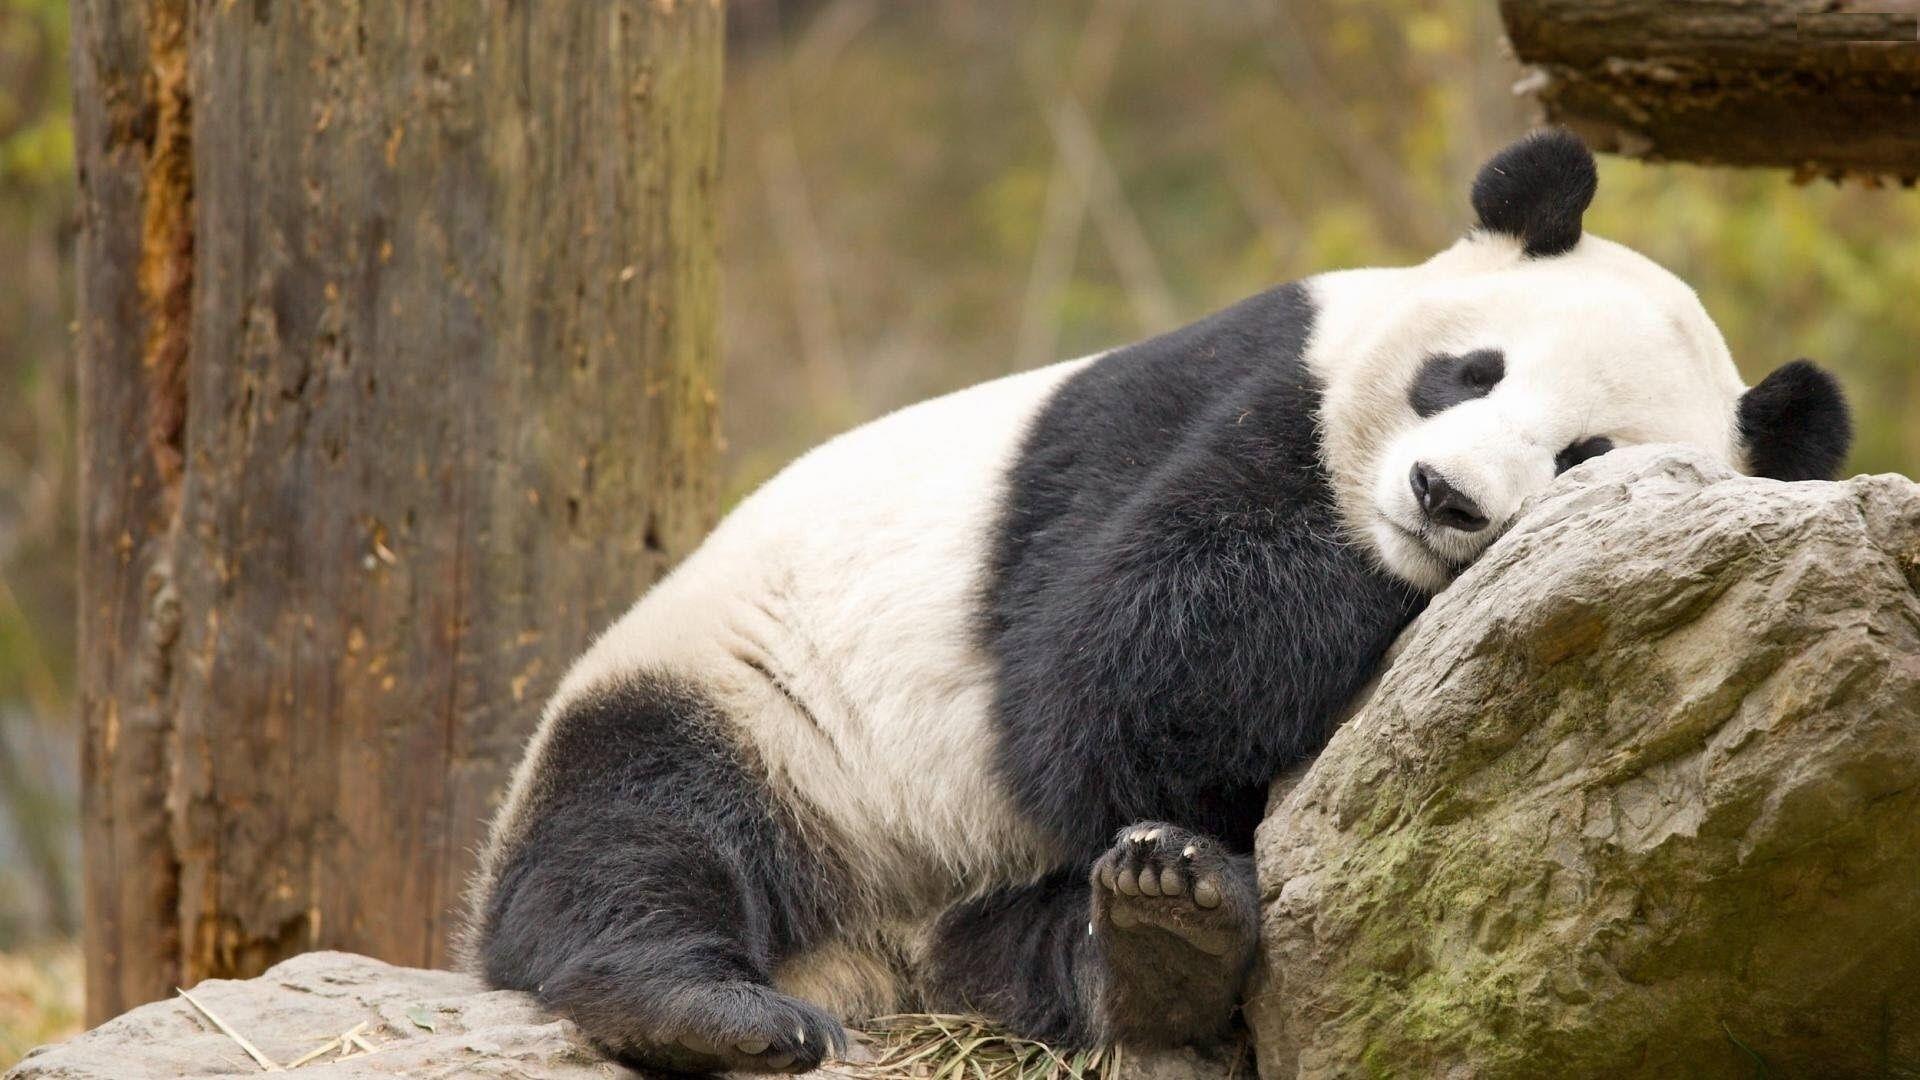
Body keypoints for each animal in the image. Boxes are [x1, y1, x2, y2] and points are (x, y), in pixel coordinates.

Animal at [464, 130, 1852, 1074]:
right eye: (1470, 372)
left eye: (1584, 456)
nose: (1445, 497)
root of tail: (875, 961)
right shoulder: (1225, 393)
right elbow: (1108, 668)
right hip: (753, 696)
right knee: (636, 828)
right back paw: (711, 1010)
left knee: (1033, 941)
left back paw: (1160, 939)